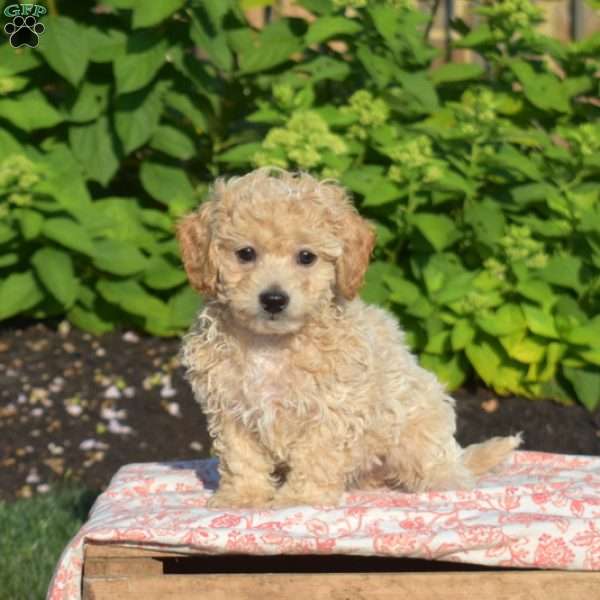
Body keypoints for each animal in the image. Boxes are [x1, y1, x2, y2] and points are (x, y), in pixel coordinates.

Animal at [178, 168, 520, 506]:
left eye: (306, 257)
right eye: (246, 253)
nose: (274, 299)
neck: (271, 342)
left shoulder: (330, 406)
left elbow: (315, 456)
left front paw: (301, 499)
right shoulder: (230, 407)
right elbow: (242, 459)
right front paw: (242, 497)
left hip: (417, 427)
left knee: (441, 466)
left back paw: (443, 481)